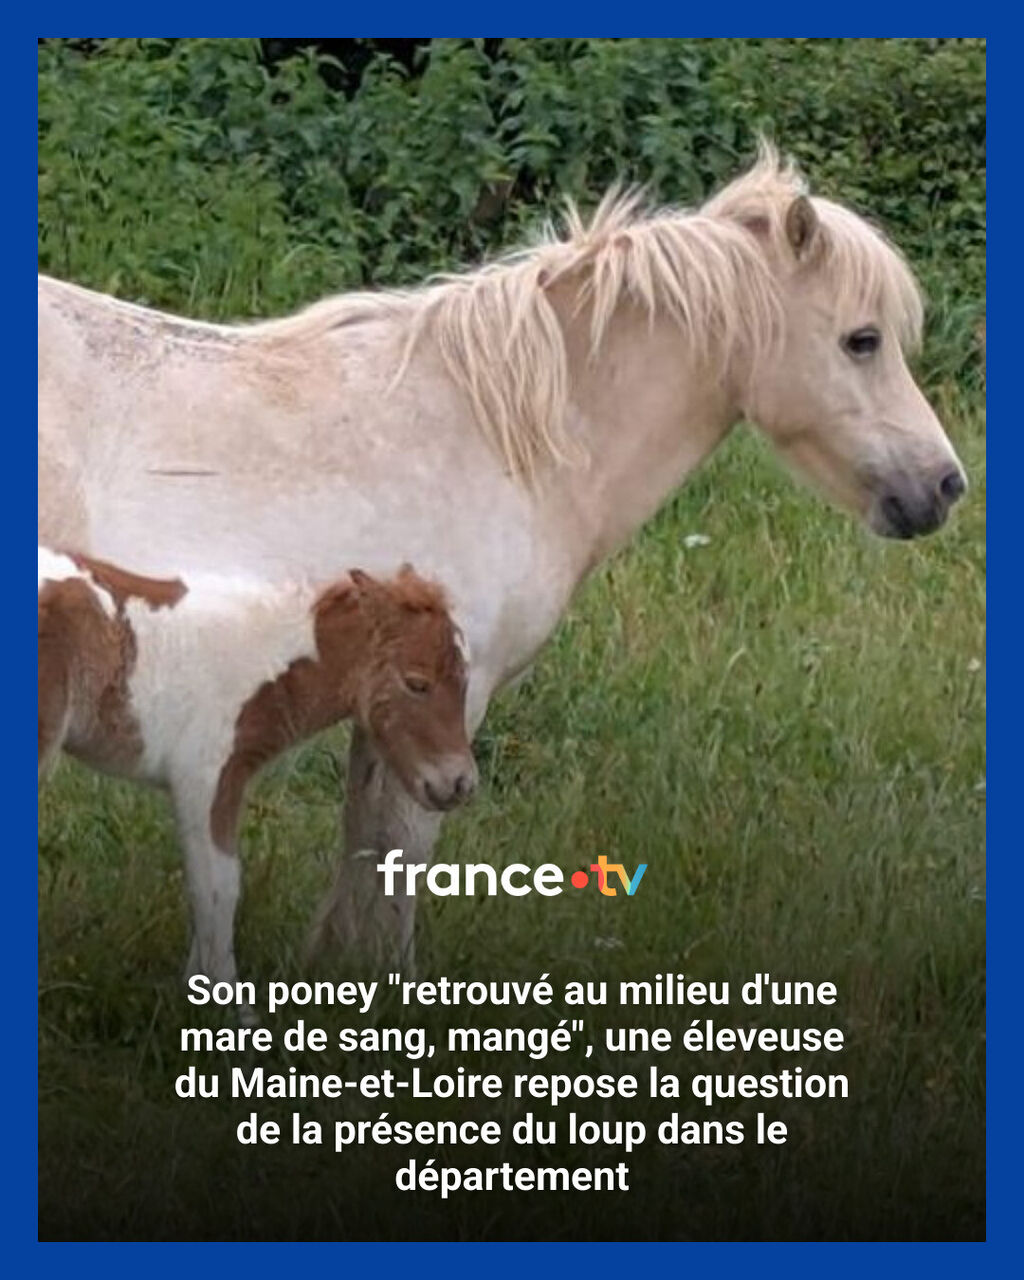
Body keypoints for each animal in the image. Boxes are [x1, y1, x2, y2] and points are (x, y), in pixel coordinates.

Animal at [38, 548, 474, 983]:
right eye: (416, 683)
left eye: (465, 682)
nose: (461, 783)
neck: (265, 662)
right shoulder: (206, 777)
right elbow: (218, 887)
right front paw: (225, 994)